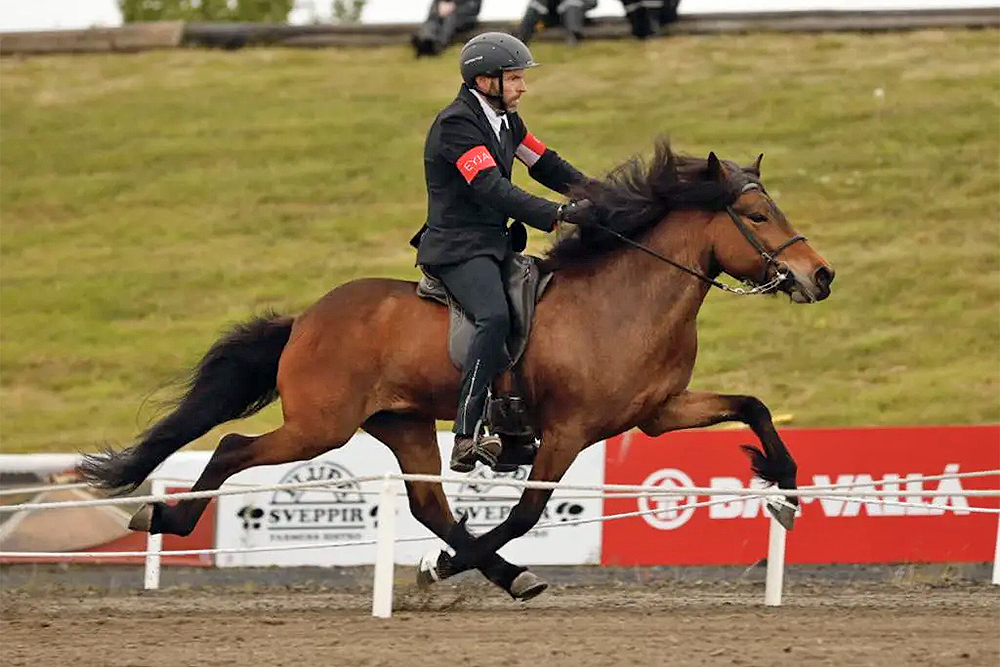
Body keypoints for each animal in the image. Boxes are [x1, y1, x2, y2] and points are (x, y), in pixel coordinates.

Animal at [82, 141, 836, 600]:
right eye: (757, 214)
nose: (819, 275)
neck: (626, 300)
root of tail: (305, 320)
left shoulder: (656, 413)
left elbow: (754, 405)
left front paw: (785, 488)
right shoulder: (568, 431)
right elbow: (526, 511)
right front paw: (444, 570)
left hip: (403, 421)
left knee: (429, 505)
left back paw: (499, 573)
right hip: (322, 425)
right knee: (237, 447)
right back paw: (166, 515)